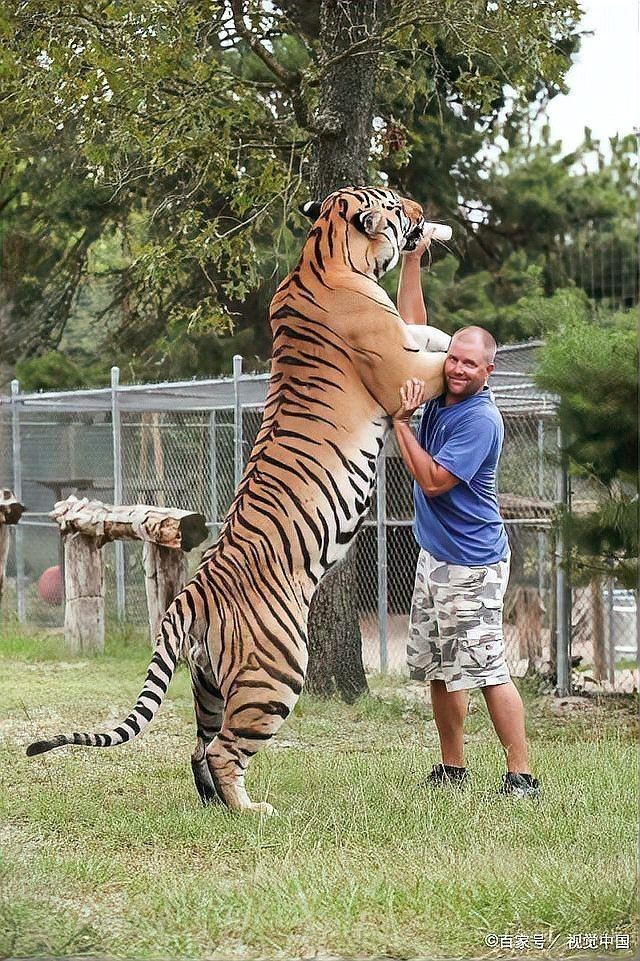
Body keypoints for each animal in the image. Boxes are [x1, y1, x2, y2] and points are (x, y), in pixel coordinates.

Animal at [26, 185, 452, 816]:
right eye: (398, 203)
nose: (423, 212)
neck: (325, 253)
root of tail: (190, 595)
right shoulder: (401, 370)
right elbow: (438, 358)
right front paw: (472, 349)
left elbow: (428, 334)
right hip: (276, 674)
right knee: (226, 749)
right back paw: (252, 811)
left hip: (208, 684)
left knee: (199, 746)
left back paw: (215, 807)